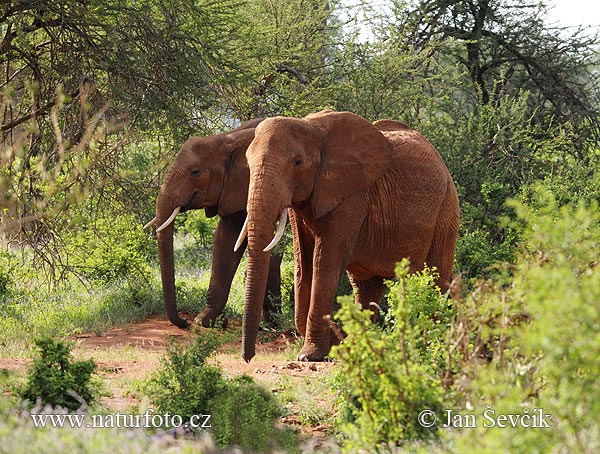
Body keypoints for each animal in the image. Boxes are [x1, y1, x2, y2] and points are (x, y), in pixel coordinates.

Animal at [148, 119, 284, 328]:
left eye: (195, 172)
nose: (184, 321)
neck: (225, 139)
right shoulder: (233, 191)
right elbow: (226, 239)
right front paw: (208, 321)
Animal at [236, 110, 460, 362]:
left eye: (298, 162)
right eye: (248, 161)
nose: (248, 358)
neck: (311, 127)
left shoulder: (351, 194)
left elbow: (325, 261)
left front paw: (309, 356)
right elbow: (303, 262)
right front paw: (331, 344)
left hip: (446, 210)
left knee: (435, 278)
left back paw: (431, 343)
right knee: (367, 286)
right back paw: (356, 344)